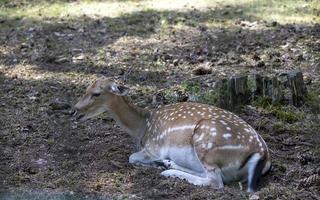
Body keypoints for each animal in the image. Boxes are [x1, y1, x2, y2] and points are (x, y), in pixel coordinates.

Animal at [74, 77, 272, 193]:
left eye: (96, 93)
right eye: (86, 89)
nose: (74, 110)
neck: (142, 128)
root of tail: (263, 154)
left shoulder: (155, 147)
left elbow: (131, 157)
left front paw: (154, 164)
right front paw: (159, 163)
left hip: (205, 139)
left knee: (215, 181)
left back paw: (168, 171)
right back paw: (169, 164)